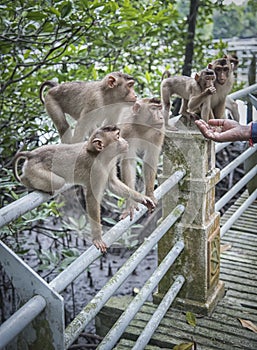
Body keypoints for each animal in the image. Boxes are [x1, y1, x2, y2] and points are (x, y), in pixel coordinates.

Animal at [13, 124, 154, 253]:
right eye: (118, 136)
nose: (125, 141)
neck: (98, 154)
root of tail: (32, 154)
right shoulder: (96, 170)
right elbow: (92, 197)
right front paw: (97, 238)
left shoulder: (109, 163)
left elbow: (113, 184)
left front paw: (143, 198)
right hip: (35, 169)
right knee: (58, 182)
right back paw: (26, 181)